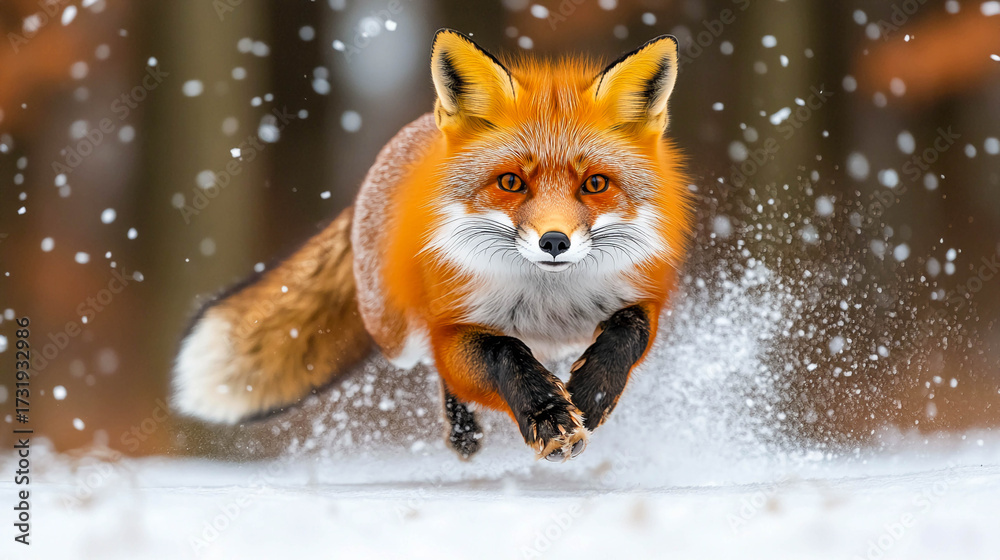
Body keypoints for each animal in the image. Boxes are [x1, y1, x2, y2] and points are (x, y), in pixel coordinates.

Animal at [173, 29, 694, 462]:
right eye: (510, 182)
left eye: (595, 184)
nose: (554, 241)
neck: (550, 305)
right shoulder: (453, 325)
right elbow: (504, 353)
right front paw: (550, 418)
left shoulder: (642, 294)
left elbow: (627, 332)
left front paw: (589, 394)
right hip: (396, 334)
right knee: (439, 366)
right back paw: (464, 432)